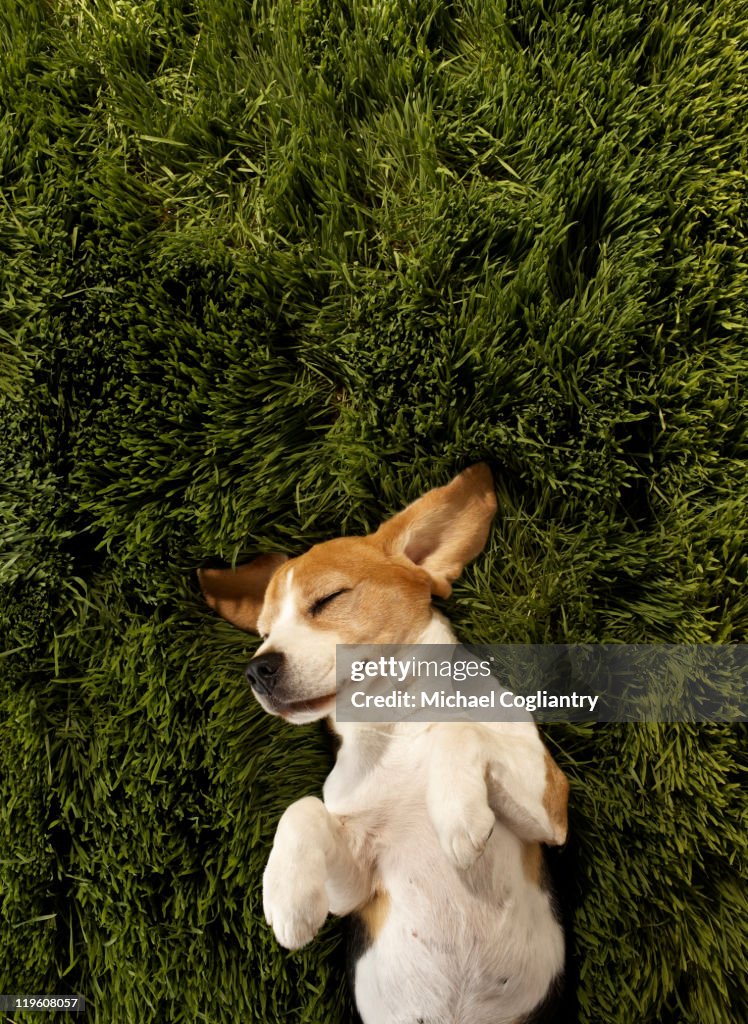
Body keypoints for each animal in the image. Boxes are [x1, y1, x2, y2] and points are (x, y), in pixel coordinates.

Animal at [197, 466, 565, 1024]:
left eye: (328, 598)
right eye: (263, 632)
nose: (257, 669)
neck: (397, 724)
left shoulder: (551, 809)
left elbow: (459, 729)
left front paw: (457, 814)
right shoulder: (356, 888)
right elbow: (302, 809)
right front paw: (287, 897)